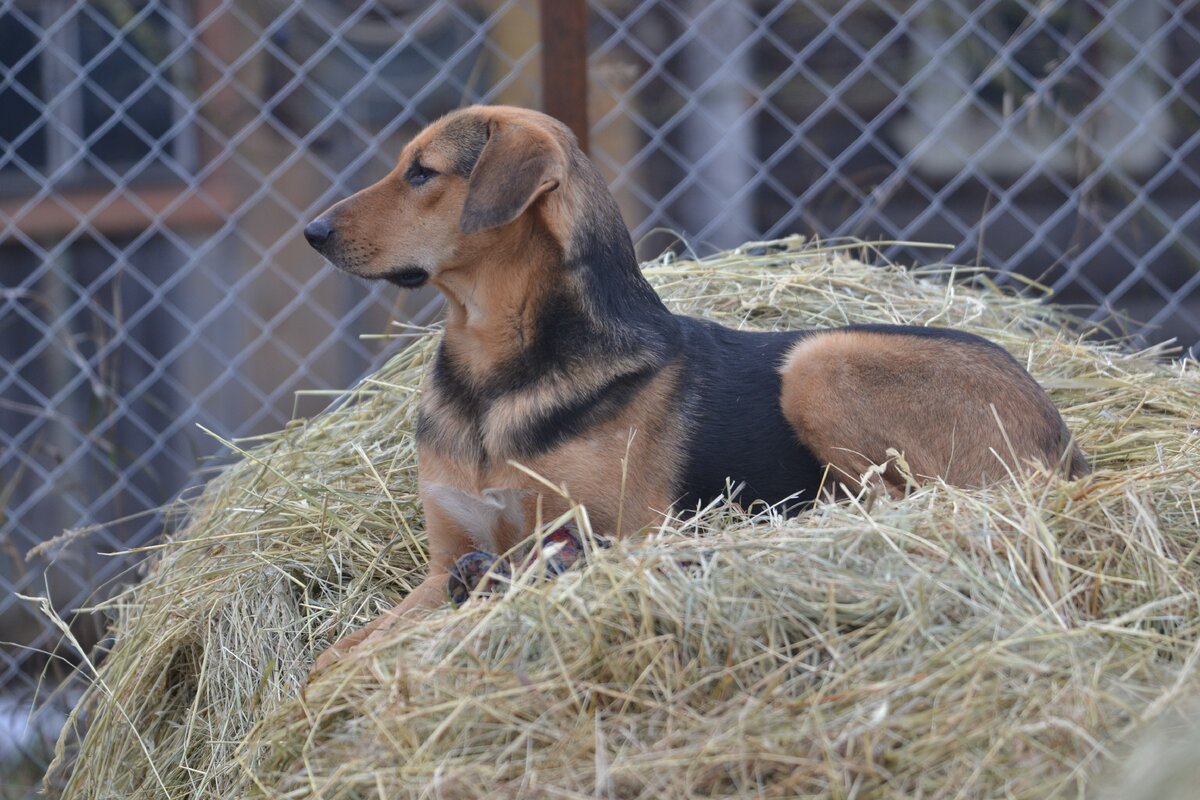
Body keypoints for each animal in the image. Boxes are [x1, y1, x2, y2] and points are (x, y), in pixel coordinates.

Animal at [304, 104, 1094, 671]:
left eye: (421, 173)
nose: (311, 231)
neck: (491, 378)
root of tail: (1060, 433)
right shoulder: (448, 563)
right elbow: (336, 657)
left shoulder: (608, 534)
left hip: (818, 361)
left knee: (903, 505)